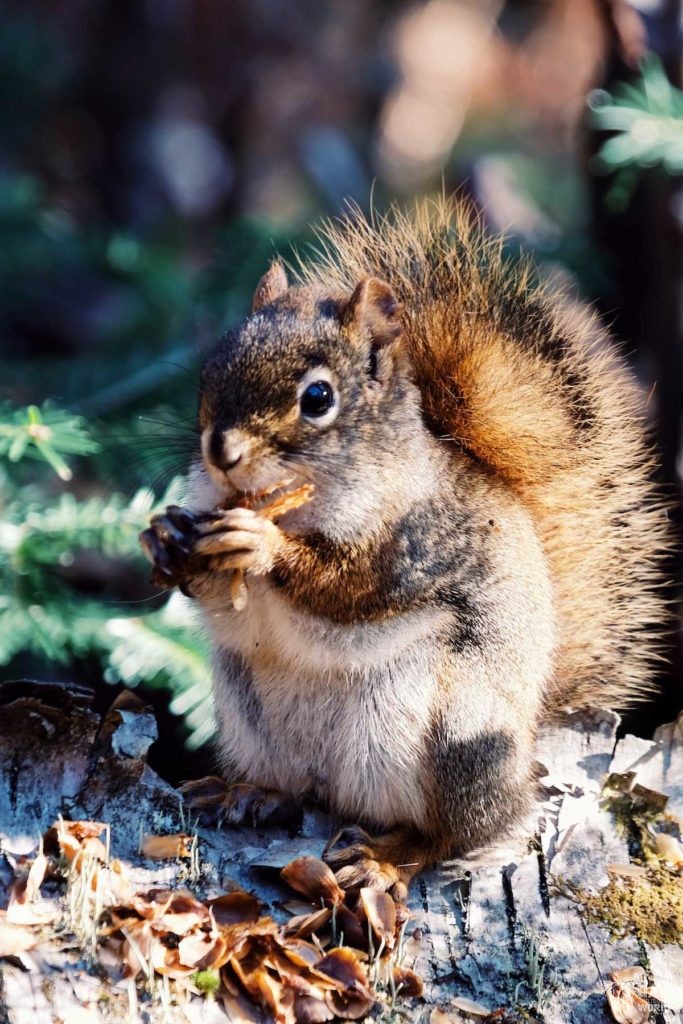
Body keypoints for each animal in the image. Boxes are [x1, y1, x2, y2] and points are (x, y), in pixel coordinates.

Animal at [141, 197, 671, 897]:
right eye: (211, 369)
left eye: (318, 397)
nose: (220, 452)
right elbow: (230, 605)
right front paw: (166, 537)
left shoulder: (422, 543)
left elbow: (354, 586)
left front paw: (264, 545)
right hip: (251, 719)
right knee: (298, 790)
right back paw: (248, 792)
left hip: (455, 739)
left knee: (453, 834)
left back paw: (387, 856)